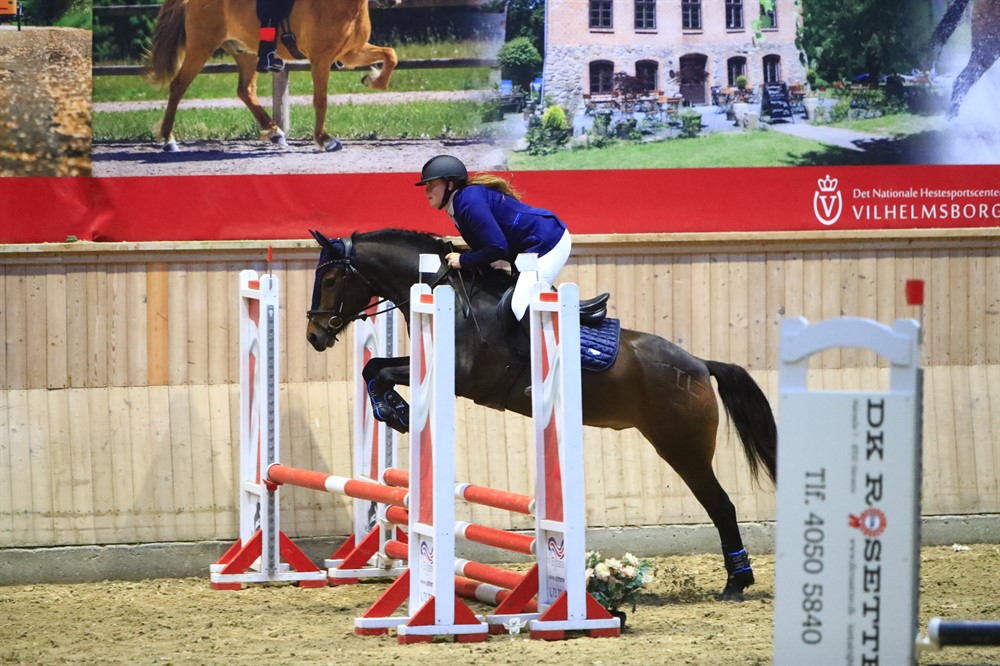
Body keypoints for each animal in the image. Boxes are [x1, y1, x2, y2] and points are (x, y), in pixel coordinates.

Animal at [147, 0, 398, 152]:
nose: (394, 2)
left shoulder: (351, 54)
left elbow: (391, 55)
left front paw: (373, 80)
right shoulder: (321, 59)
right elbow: (321, 100)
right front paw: (325, 139)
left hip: (246, 52)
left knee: (245, 91)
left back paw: (276, 133)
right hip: (201, 46)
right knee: (178, 86)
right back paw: (169, 140)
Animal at [304, 228, 778, 601]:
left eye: (330, 277)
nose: (314, 334)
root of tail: (699, 364)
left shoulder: (461, 377)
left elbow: (382, 370)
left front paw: (396, 409)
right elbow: (373, 367)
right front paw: (394, 409)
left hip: (682, 447)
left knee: (722, 506)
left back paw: (737, 582)